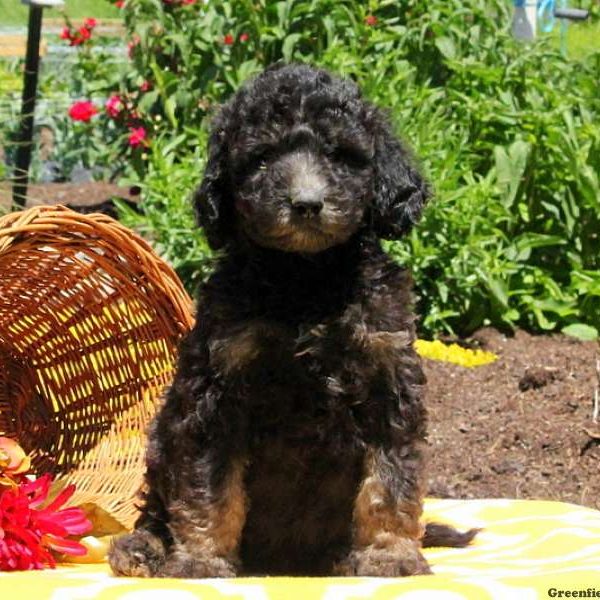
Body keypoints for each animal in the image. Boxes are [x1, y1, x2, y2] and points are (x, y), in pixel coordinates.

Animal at [109, 63, 474, 580]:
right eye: (261, 158)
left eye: (340, 155)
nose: (305, 203)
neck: (305, 279)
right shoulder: (217, 388)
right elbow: (208, 485)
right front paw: (201, 560)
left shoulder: (387, 377)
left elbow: (389, 480)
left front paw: (389, 555)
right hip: (162, 437)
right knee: (159, 506)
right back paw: (145, 547)